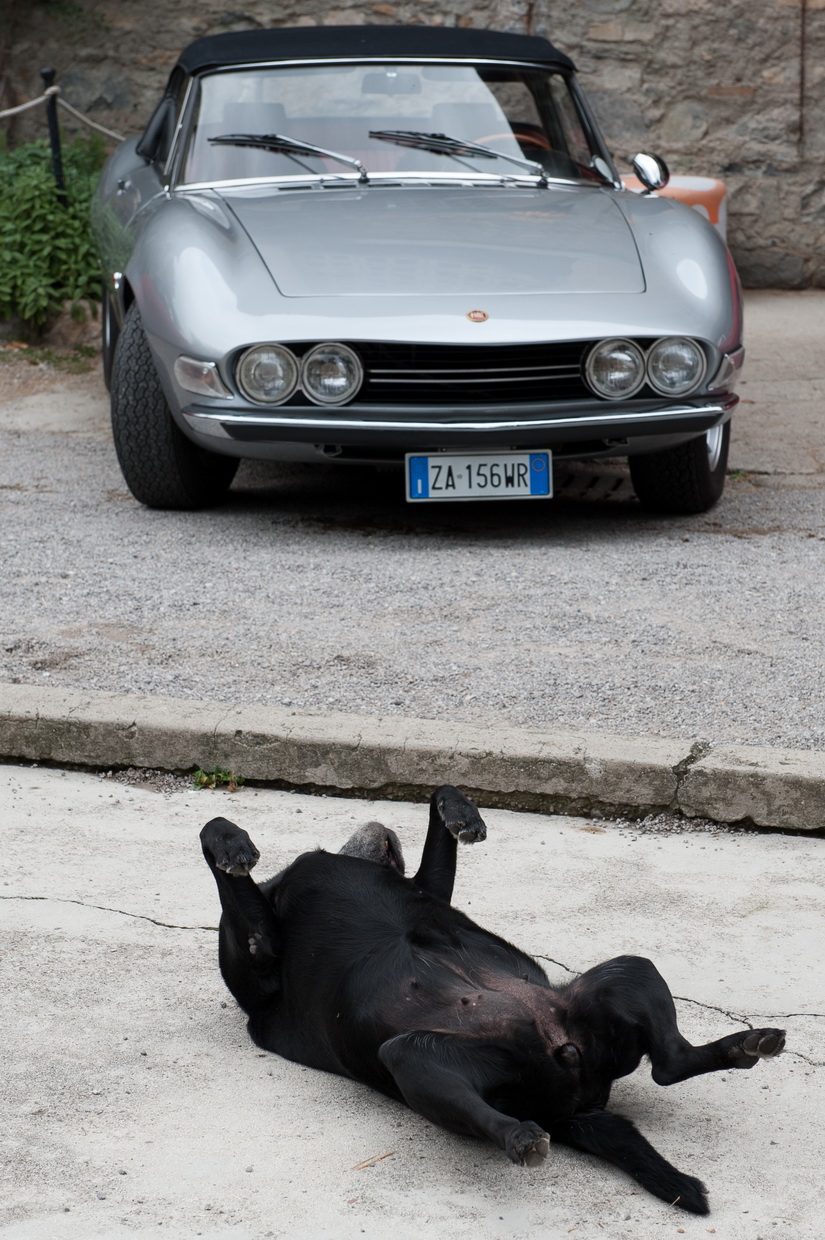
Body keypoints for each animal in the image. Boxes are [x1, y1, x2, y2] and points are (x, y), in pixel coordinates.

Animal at [200, 785, 784, 1215]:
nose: (382, 829)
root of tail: (569, 1104)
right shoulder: (259, 963)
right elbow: (213, 836)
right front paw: (231, 846)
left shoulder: (429, 889)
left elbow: (440, 808)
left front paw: (459, 811)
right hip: (414, 1055)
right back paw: (521, 1136)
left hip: (626, 973)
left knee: (671, 1061)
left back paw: (746, 1045)